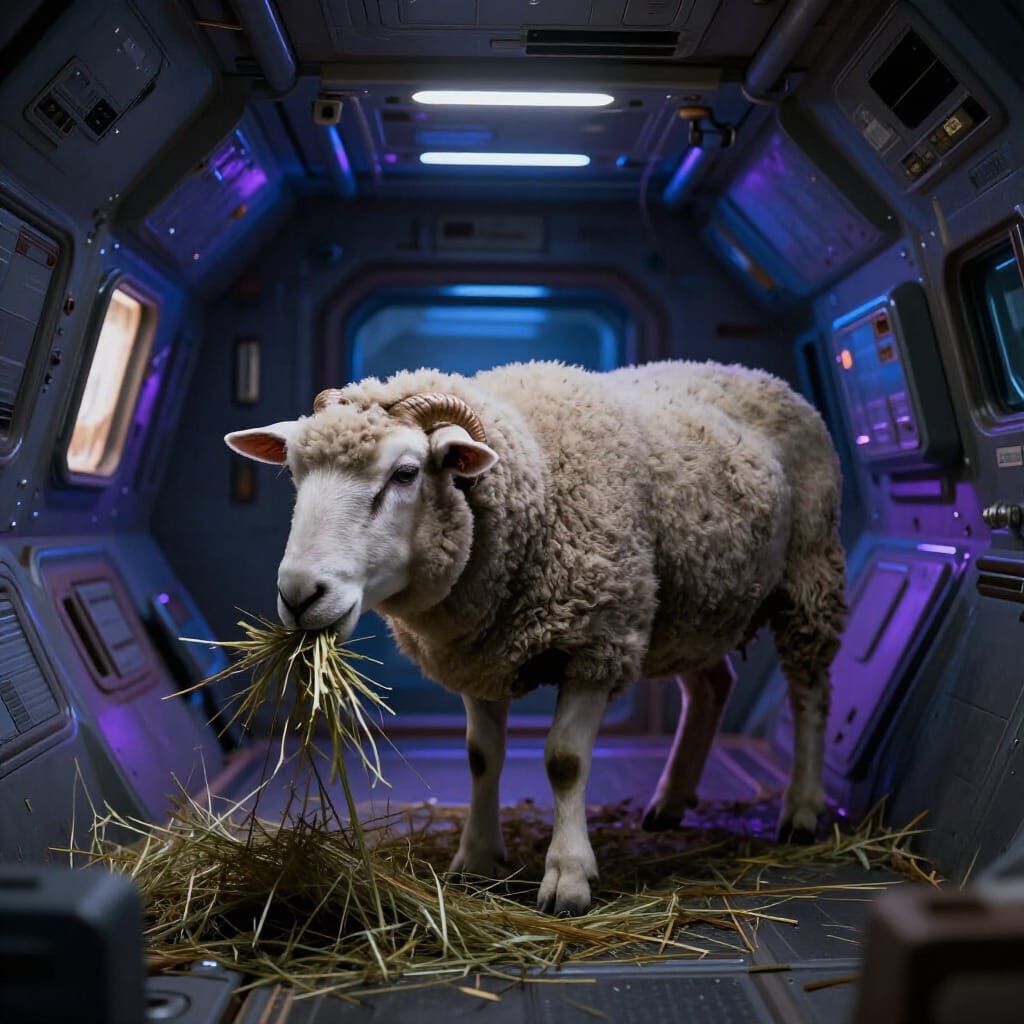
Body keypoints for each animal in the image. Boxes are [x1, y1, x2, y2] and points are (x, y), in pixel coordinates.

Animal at [225, 360, 847, 916]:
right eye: (294, 473)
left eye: (405, 473)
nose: (299, 594)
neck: (539, 477)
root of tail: (760, 375)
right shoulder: (479, 656)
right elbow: (481, 757)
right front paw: (475, 858)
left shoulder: (599, 641)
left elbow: (565, 762)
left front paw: (568, 877)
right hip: (693, 604)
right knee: (712, 687)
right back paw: (670, 802)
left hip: (808, 574)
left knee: (811, 693)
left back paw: (801, 810)